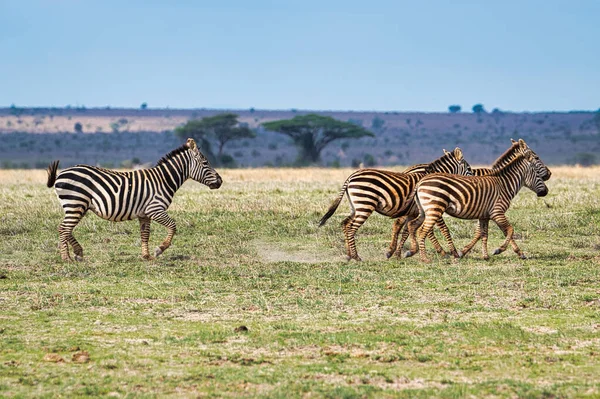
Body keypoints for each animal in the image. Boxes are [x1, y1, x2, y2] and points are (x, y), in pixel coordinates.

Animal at [45, 138, 221, 262]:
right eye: (206, 163)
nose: (220, 181)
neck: (164, 180)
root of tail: (61, 174)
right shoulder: (155, 209)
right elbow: (172, 225)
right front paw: (159, 249)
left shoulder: (145, 214)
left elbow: (145, 234)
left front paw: (146, 256)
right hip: (75, 203)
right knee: (64, 229)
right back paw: (66, 258)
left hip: (77, 206)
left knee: (65, 229)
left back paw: (78, 252)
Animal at [318, 148, 474, 260]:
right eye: (469, 169)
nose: (474, 180)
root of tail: (351, 176)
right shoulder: (431, 206)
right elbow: (443, 228)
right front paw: (453, 252)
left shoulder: (413, 211)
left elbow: (406, 230)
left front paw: (400, 252)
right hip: (365, 204)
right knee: (351, 228)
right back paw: (356, 257)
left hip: (356, 206)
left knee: (345, 224)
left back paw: (349, 255)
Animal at [386, 140, 552, 260]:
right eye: (537, 157)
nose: (549, 175)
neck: (501, 180)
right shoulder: (494, 211)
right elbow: (504, 231)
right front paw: (507, 251)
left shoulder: (483, 212)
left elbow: (482, 233)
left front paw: (472, 252)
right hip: (431, 207)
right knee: (417, 227)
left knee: (405, 225)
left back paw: (398, 252)